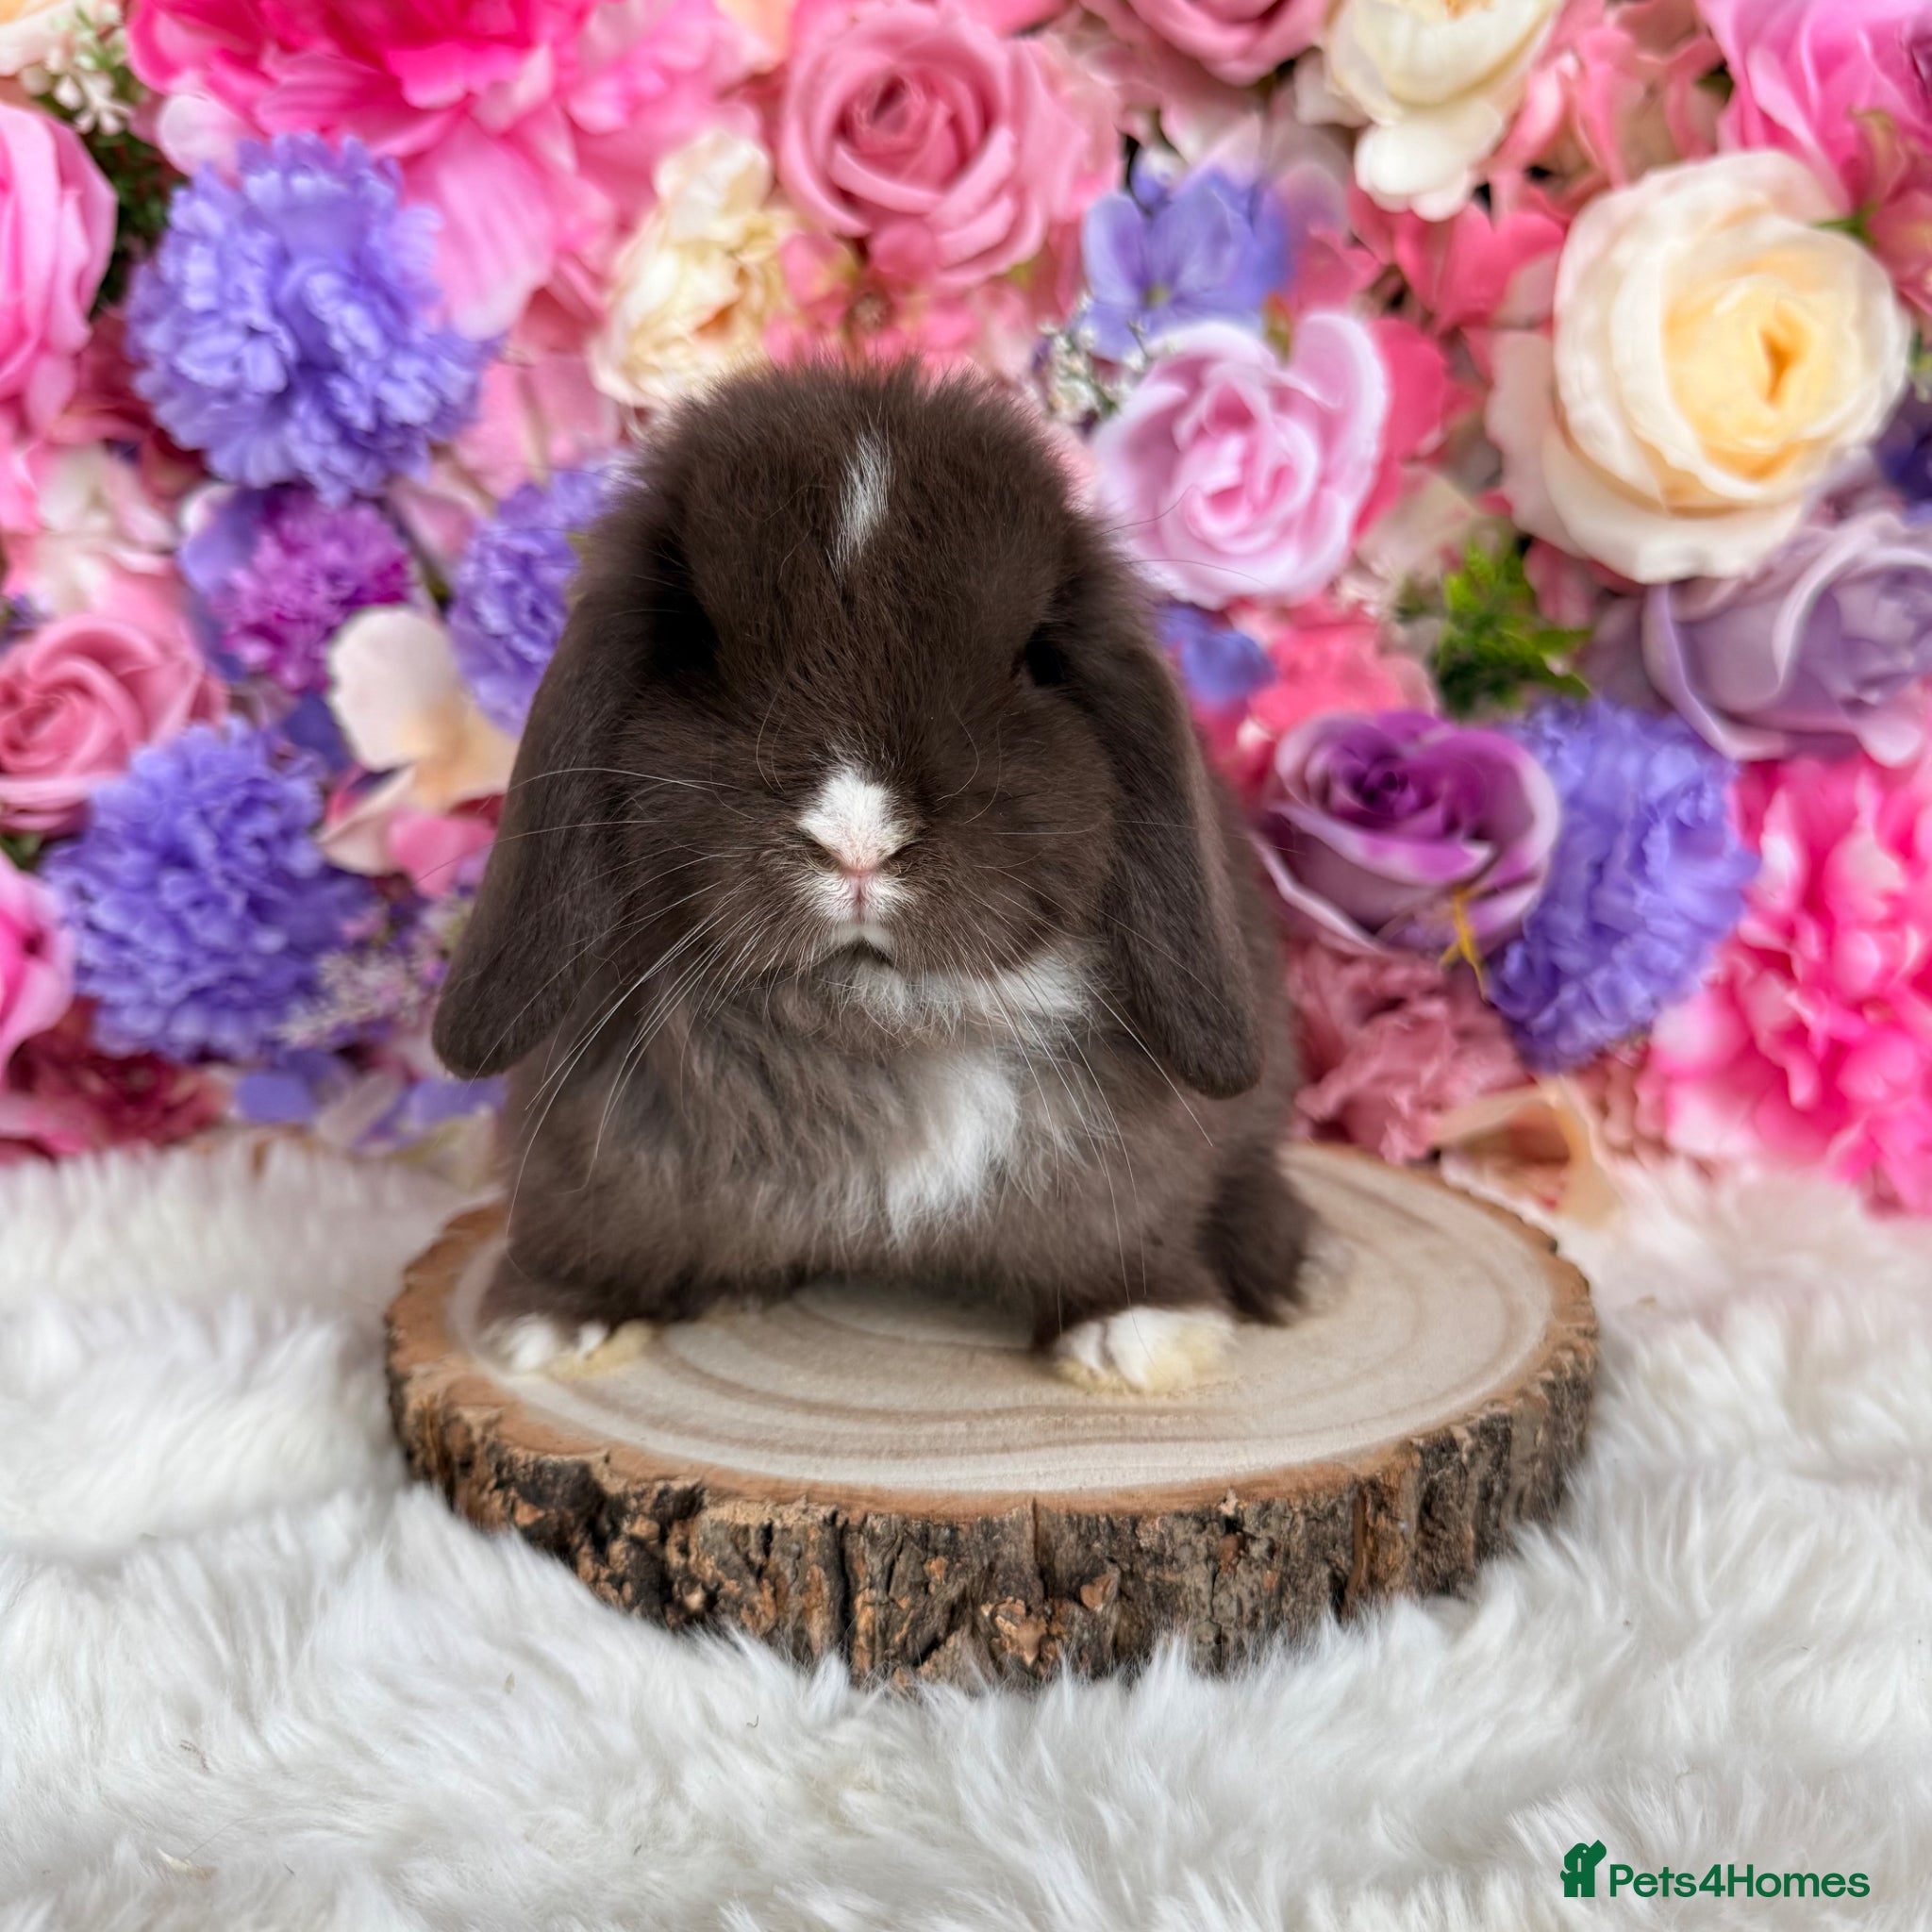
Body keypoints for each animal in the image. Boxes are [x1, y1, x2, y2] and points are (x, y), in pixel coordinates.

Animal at [431, 360, 1310, 1394]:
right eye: (694, 641)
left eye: (1034, 658)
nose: (857, 839)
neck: (872, 1016)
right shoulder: (580, 1145)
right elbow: (581, 1229)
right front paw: (557, 1322)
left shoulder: (1138, 1166)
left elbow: (1127, 1236)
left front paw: (1136, 1334)